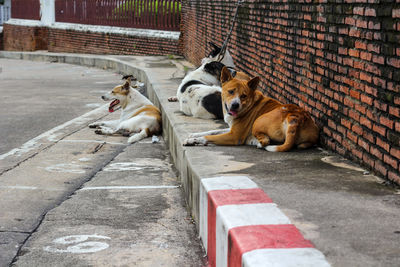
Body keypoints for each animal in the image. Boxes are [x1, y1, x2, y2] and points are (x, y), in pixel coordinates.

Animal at [184, 66, 318, 153]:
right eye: (231, 91)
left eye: (244, 96)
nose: (235, 105)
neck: (249, 105)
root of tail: (296, 117)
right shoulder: (231, 129)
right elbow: (212, 131)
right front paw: (193, 135)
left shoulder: (234, 136)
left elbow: (208, 137)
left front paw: (193, 140)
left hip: (257, 121)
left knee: (266, 141)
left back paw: (256, 142)